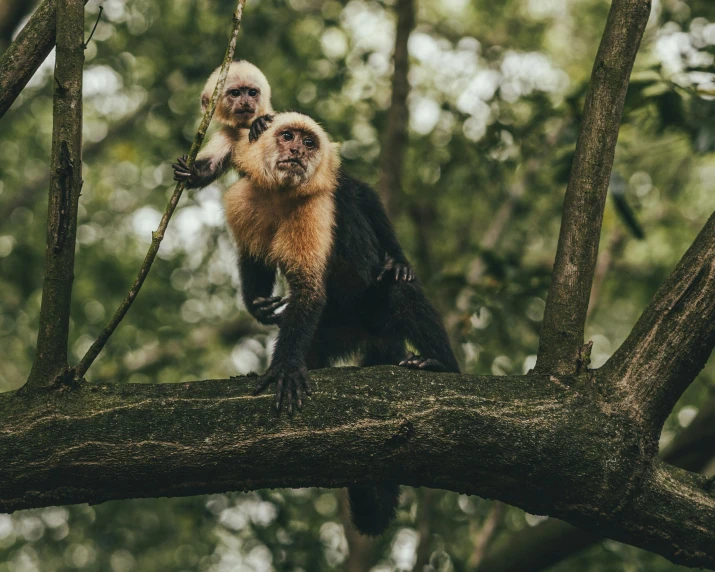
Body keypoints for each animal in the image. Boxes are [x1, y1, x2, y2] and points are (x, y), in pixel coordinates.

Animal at [173, 61, 274, 189]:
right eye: (235, 93)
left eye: (252, 93)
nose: (246, 102)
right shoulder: (230, 133)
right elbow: (210, 167)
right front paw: (190, 172)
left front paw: (259, 122)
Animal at [224, 113, 458, 536]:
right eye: (287, 136)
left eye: (308, 142)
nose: (297, 151)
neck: (281, 195)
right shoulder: (242, 199)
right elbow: (253, 256)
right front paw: (258, 306)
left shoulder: (315, 207)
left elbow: (310, 290)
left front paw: (284, 368)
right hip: (327, 334)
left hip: (376, 320)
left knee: (398, 291)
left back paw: (440, 363)